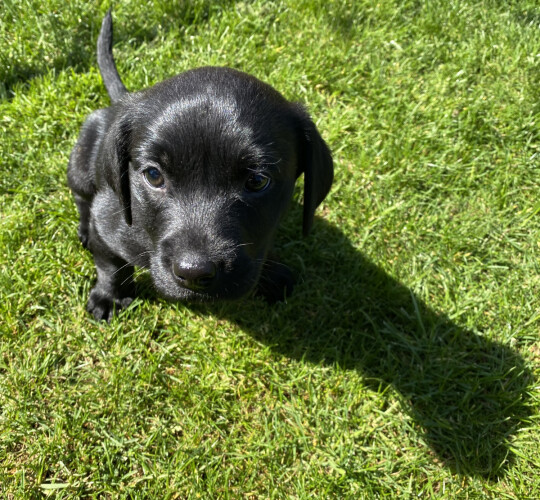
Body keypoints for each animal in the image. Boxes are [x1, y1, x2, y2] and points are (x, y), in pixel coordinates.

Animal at [67, 11, 334, 320]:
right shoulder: (108, 219)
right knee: (81, 199)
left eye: (257, 181)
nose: (194, 273)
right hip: (80, 166)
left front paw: (273, 273)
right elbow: (109, 265)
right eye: (153, 176)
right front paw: (109, 297)